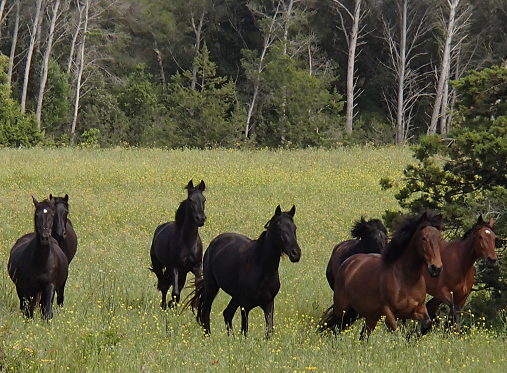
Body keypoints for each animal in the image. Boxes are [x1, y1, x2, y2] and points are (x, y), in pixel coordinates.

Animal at [151, 179, 206, 308]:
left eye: (204, 199)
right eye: (191, 199)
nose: (201, 219)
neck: (188, 243)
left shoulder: (196, 267)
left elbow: (196, 287)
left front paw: (194, 306)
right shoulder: (174, 268)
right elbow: (175, 292)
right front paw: (171, 305)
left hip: (183, 271)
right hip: (158, 265)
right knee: (164, 285)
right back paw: (164, 306)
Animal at [190, 205, 302, 336]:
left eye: (294, 228)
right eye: (280, 228)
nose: (296, 253)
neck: (262, 272)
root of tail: (215, 242)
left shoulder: (269, 305)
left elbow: (269, 332)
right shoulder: (245, 306)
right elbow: (244, 332)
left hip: (235, 296)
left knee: (227, 314)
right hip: (212, 286)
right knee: (206, 310)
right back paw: (208, 336)